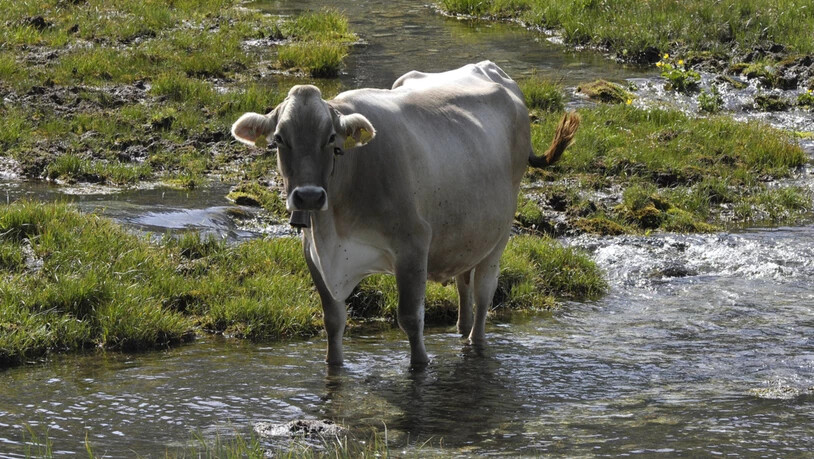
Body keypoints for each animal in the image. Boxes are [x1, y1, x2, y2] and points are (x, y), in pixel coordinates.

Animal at [231, 61, 579, 366]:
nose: (309, 196)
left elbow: (411, 318)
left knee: (484, 292)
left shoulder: (413, 244)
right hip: (466, 232)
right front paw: (334, 363)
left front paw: (421, 364)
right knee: (463, 282)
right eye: (279, 139)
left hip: (500, 232)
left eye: (330, 139)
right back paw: (461, 327)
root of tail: (491, 69)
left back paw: (475, 340)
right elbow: (333, 320)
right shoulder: (313, 254)